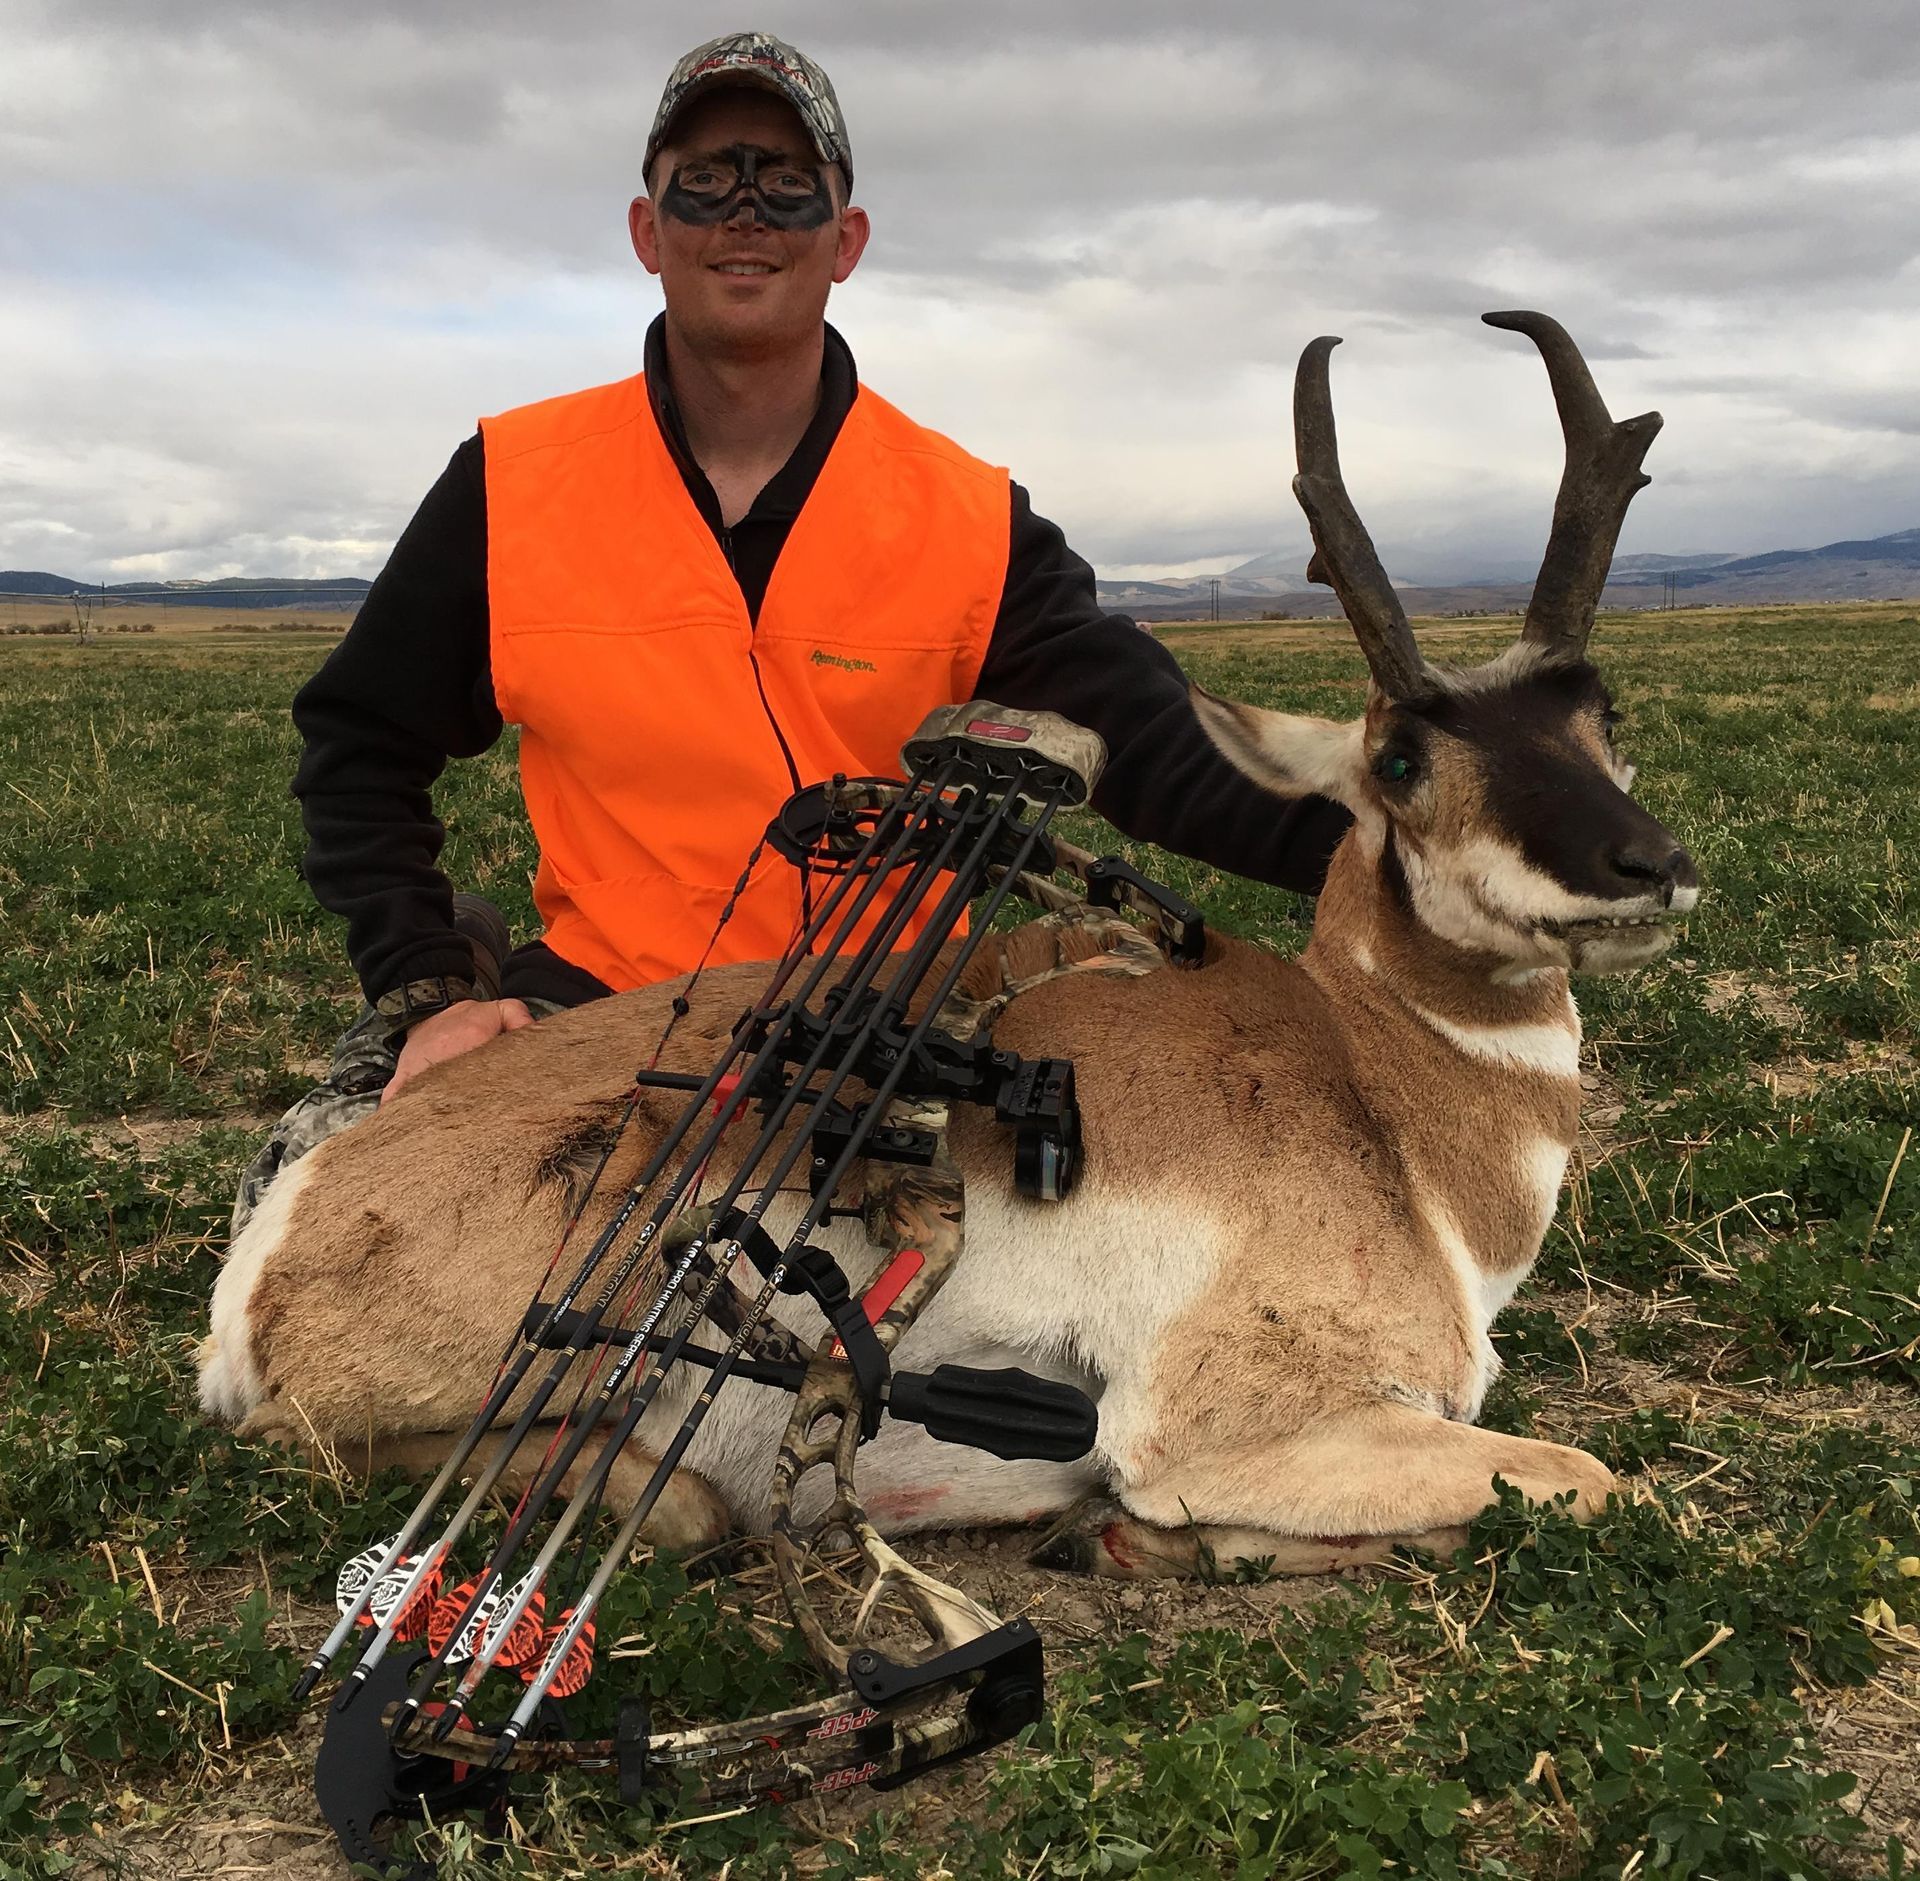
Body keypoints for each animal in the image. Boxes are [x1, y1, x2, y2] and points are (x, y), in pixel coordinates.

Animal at [199, 312, 1695, 1581]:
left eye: (1602, 714)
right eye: (1398, 757)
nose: (1652, 869)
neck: (1369, 1089)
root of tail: (285, 1223)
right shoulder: (1236, 1423)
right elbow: (1597, 1477)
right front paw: (1150, 1537)